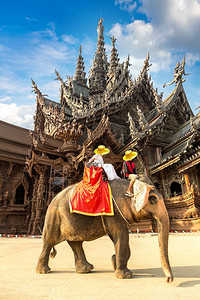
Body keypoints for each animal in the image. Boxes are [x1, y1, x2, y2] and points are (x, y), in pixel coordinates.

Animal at [36, 175, 173, 282]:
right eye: (153, 199)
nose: (168, 280)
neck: (126, 185)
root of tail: (52, 199)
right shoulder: (113, 212)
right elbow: (120, 235)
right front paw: (126, 275)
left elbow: (121, 238)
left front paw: (114, 262)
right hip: (54, 218)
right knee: (49, 242)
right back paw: (43, 271)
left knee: (75, 243)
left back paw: (86, 269)